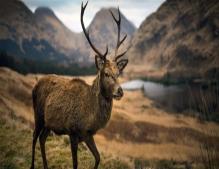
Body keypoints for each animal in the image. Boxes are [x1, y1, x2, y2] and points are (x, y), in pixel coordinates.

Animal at [29, 1, 128, 169]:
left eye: (118, 73)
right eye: (106, 73)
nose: (120, 91)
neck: (90, 117)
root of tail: (35, 86)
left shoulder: (87, 134)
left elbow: (98, 158)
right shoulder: (73, 132)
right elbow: (75, 163)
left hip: (49, 123)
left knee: (42, 138)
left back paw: (46, 165)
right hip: (38, 114)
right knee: (35, 136)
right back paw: (32, 165)